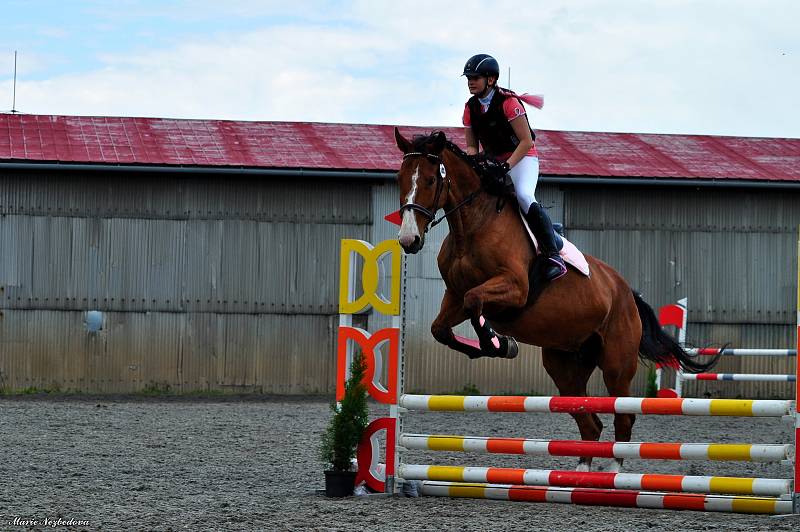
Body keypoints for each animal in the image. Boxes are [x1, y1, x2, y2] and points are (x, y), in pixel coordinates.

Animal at [394, 130, 720, 474]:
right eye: (400, 178)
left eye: (431, 180)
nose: (408, 240)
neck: (472, 227)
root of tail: (626, 291)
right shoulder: (453, 297)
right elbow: (441, 328)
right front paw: (496, 345)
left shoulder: (514, 289)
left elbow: (475, 302)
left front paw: (498, 343)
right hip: (564, 364)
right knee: (590, 422)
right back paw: (581, 472)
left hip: (617, 364)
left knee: (623, 416)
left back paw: (613, 471)